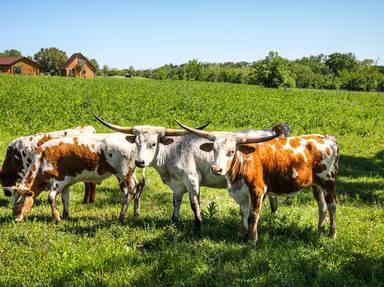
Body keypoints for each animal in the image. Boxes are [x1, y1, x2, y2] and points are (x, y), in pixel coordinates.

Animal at [4, 134, 146, 224]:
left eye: (18, 202)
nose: (15, 219)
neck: (42, 158)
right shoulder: (66, 184)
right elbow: (65, 199)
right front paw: (66, 216)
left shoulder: (59, 180)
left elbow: (51, 197)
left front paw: (57, 218)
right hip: (130, 174)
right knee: (137, 188)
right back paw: (136, 213)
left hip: (123, 174)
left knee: (128, 193)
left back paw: (121, 216)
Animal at [94, 113, 292, 235]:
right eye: (137, 142)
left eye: (153, 144)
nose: (140, 162)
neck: (173, 151)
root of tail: (273, 133)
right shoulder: (178, 184)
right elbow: (176, 202)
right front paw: (174, 221)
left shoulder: (192, 180)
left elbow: (194, 204)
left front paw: (198, 227)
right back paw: (274, 217)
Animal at [176, 121, 340, 245]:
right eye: (214, 150)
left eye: (231, 151)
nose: (216, 169)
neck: (242, 162)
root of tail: (327, 138)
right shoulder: (241, 192)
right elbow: (243, 213)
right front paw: (242, 234)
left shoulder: (257, 190)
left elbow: (253, 215)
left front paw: (252, 239)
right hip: (316, 184)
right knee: (321, 205)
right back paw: (320, 228)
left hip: (328, 181)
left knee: (331, 205)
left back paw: (332, 233)